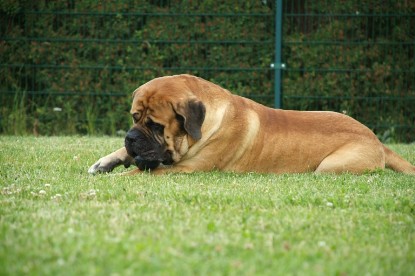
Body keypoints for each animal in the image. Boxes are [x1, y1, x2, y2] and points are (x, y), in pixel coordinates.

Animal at [88, 74, 415, 176]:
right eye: (134, 117)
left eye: (156, 126)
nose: (131, 137)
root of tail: (375, 137)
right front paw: (106, 162)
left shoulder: (186, 169)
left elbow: (144, 172)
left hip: (331, 166)